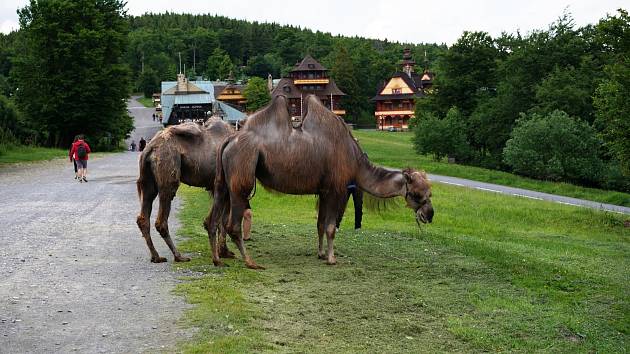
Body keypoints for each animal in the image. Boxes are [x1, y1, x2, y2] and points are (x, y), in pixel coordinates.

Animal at [136, 119, 252, 262]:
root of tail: (149, 148)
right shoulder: (227, 187)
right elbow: (223, 220)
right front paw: (224, 252)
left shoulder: (215, 188)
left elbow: (220, 220)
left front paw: (223, 252)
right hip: (168, 170)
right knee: (161, 219)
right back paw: (179, 256)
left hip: (147, 180)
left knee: (144, 216)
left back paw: (156, 256)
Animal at [207, 94, 434, 268]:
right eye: (416, 194)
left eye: (430, 193)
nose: (429, 214)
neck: (356, 162)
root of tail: (231, 139)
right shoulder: (337, 189)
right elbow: (331, 227)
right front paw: (332, 259)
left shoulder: (324, 190)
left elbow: (320, 224)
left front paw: (321, 254)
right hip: (241, 176)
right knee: (232, 224)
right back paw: (250, 262)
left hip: (223, 183)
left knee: (211, 220)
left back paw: (218, 260)